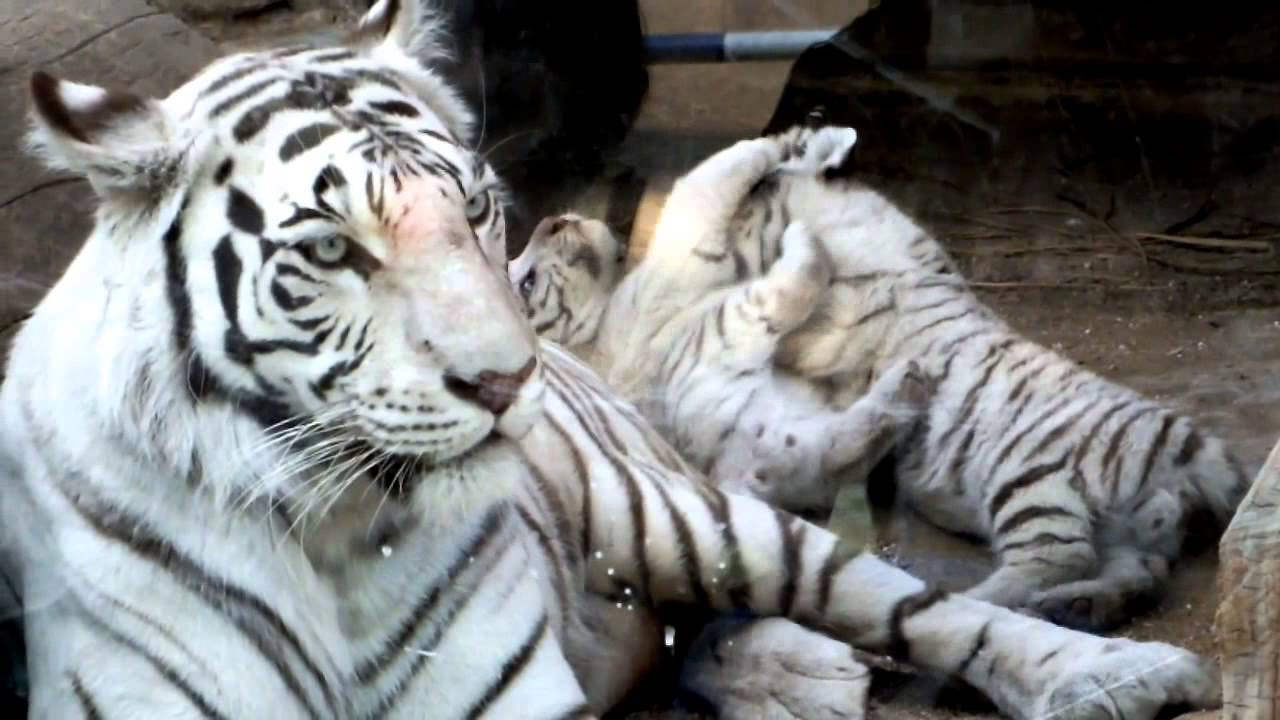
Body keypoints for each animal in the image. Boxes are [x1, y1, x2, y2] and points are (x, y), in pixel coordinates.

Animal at [507, 124, 1252, 633]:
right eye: (524, 277)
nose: (553, 216)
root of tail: (1193, 451)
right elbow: (713, 185)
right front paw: (797, 161)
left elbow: (744, 183)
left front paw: (809, 145)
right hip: (1035, 477)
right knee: (1061, 555)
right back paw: (997, 602)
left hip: (1113, 517)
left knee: (1131, 572)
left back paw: (1071, 606)